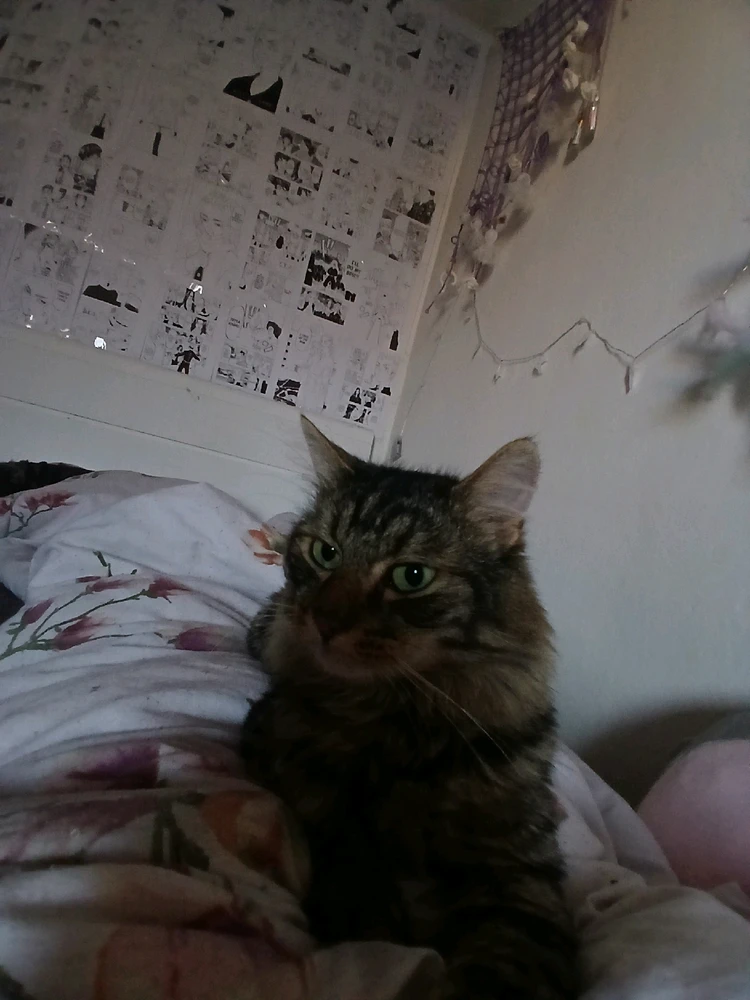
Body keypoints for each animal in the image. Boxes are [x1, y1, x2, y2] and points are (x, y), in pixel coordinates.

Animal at [241, 417, 578, 1000]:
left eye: (411, 577)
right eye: (325, 553)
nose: (324, 622)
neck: (403, 715)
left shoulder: (519, 866)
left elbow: (508, 964)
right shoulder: (280, 740)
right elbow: (341, 825)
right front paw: (367, 917)